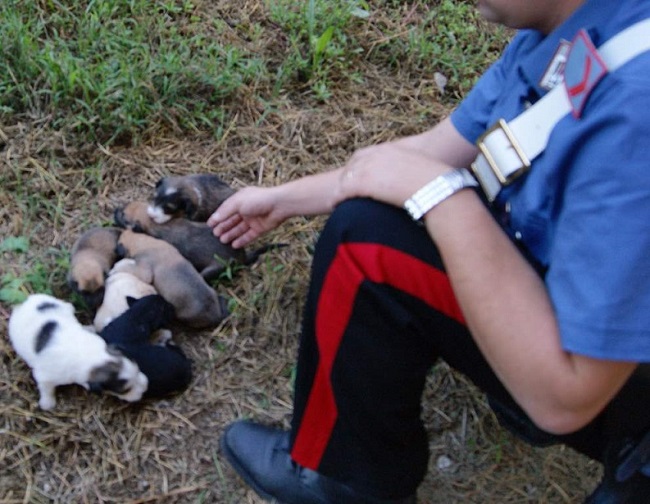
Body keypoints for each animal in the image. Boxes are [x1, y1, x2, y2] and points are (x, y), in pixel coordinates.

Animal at [7, 292, 147, 410]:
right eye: (125, 390)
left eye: (138, 369)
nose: (146, 387)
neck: (92, 356)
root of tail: (24, 301)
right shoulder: (45, 377)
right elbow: (47, 389)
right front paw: (47, 403)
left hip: (62, 306)